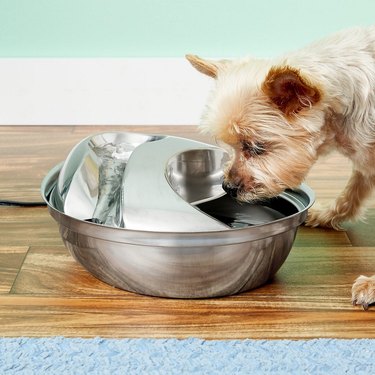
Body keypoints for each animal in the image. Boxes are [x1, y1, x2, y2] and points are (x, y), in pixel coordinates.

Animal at [188, 25, 375, 308]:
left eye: (256, 147)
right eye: (230, 146)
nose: (227, 187)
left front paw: (372, 285)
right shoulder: (365, 154)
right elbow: (353, 190)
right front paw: (328, 214)